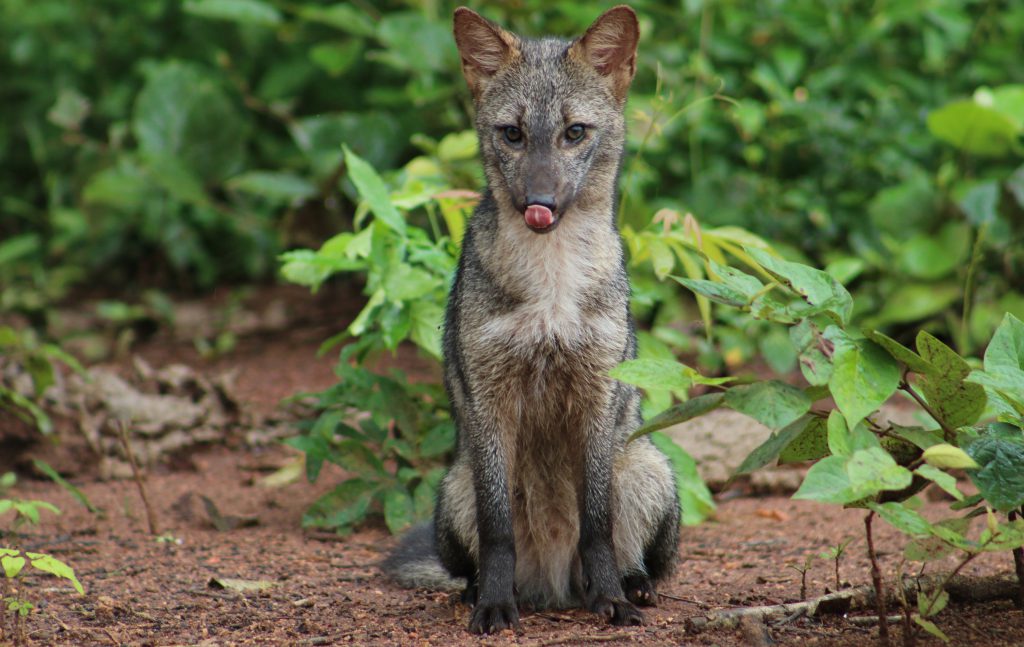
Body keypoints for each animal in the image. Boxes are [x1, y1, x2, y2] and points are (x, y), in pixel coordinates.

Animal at [383, 5, 680, 634]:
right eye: (512, 134)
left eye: (575, 132)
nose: (539, 203)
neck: (551, 288)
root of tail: (554, 584)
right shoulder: (491, 402)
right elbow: (498, 533)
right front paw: (495, 605)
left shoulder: (597, 396)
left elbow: (597, 526)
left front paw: (611, 598)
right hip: (456, 488)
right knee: (474, 564)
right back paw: (484, 591)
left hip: (645, 468)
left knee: (634, 555)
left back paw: (630, 585)